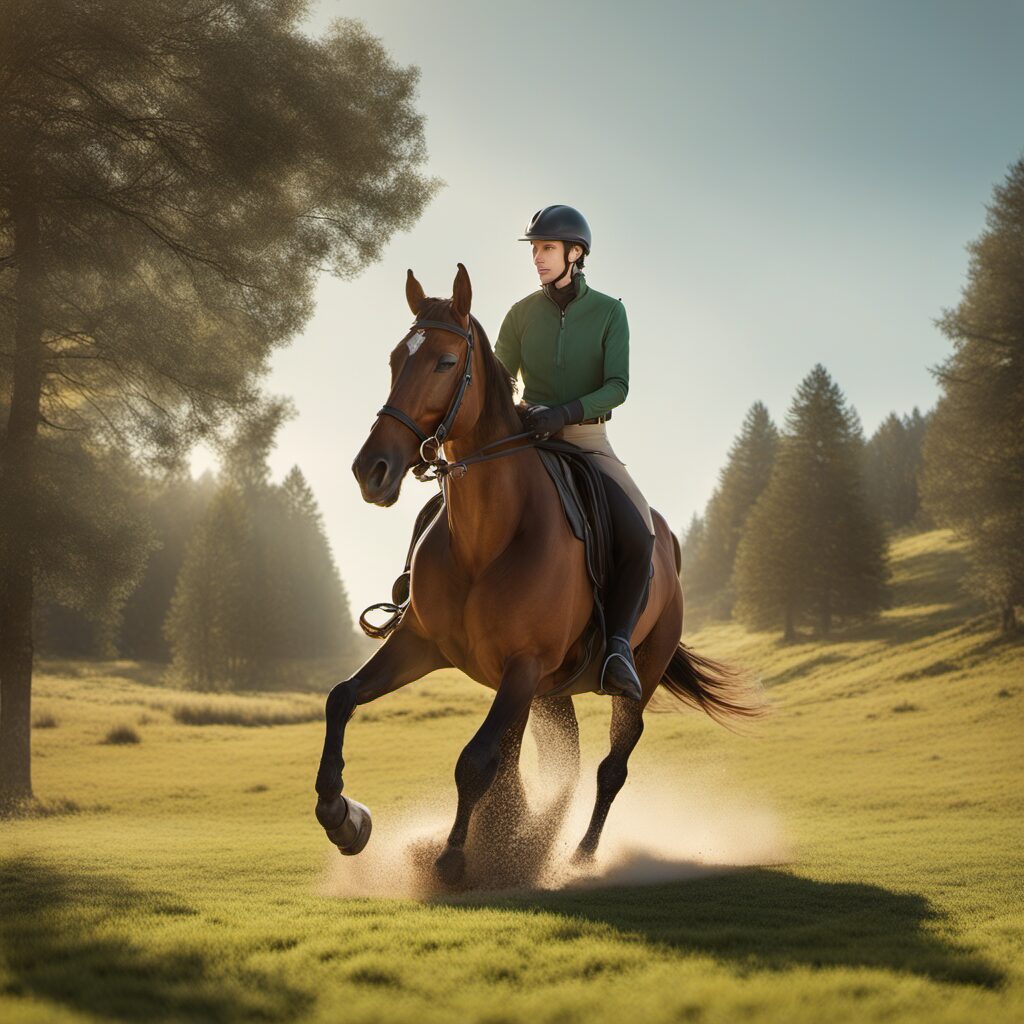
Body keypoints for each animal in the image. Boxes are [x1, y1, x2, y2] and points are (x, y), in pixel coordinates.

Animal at [314, 263, 762, 886]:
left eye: (445, 363)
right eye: (394, 359)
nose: (371, 470)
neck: (486, 539)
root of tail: (668, 544)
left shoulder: (521, 666)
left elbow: (476, 760)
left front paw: (454, 859)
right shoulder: (422, 644)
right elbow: (342, 698)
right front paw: (342, 817)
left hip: (633, 678)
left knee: (610, 767)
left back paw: (579, 855)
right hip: (550, 694)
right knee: (562, 760)